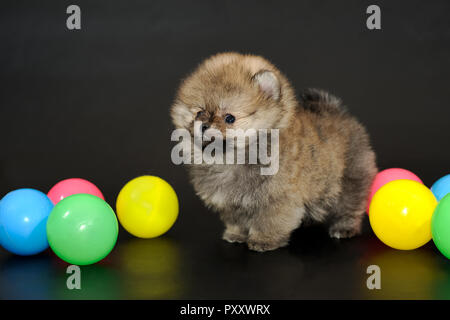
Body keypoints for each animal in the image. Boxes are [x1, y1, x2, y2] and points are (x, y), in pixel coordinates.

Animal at [171, 52, 378, 251]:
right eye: (199, 112)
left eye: (229, 118)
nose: (204, 125)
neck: (231, 157)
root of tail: (336, 112)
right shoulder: (232, 203)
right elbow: (237, 220)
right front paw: (236, 234)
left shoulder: (277, 198)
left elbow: (269, 222)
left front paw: (264, 241)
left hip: (351, 176)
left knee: (350, 204)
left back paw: (345, 227)